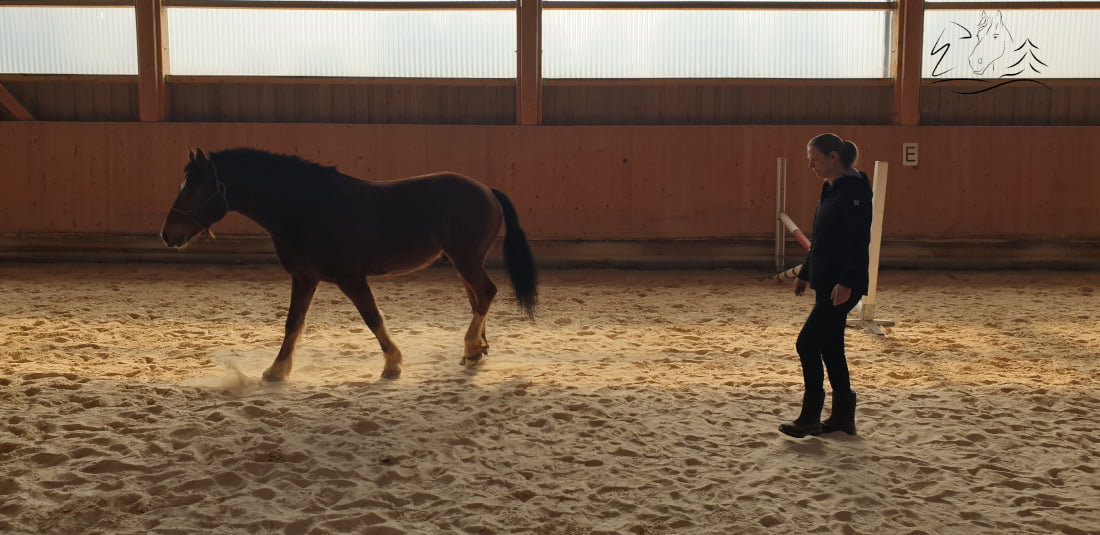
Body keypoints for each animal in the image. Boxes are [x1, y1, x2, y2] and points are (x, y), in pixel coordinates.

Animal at [160, 148, 538, 381]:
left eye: (194, 190)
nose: (167, 235)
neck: (307, 207)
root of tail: (486, 190)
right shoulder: (304, 278)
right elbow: (293, 323)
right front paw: (277, 371)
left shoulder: (351, 277)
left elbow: (372, 318)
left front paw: (392, 364)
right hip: (463, 261)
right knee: (477, 298)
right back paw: (476, 351)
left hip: (465, 259)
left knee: (486, 293)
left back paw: (472, 347)